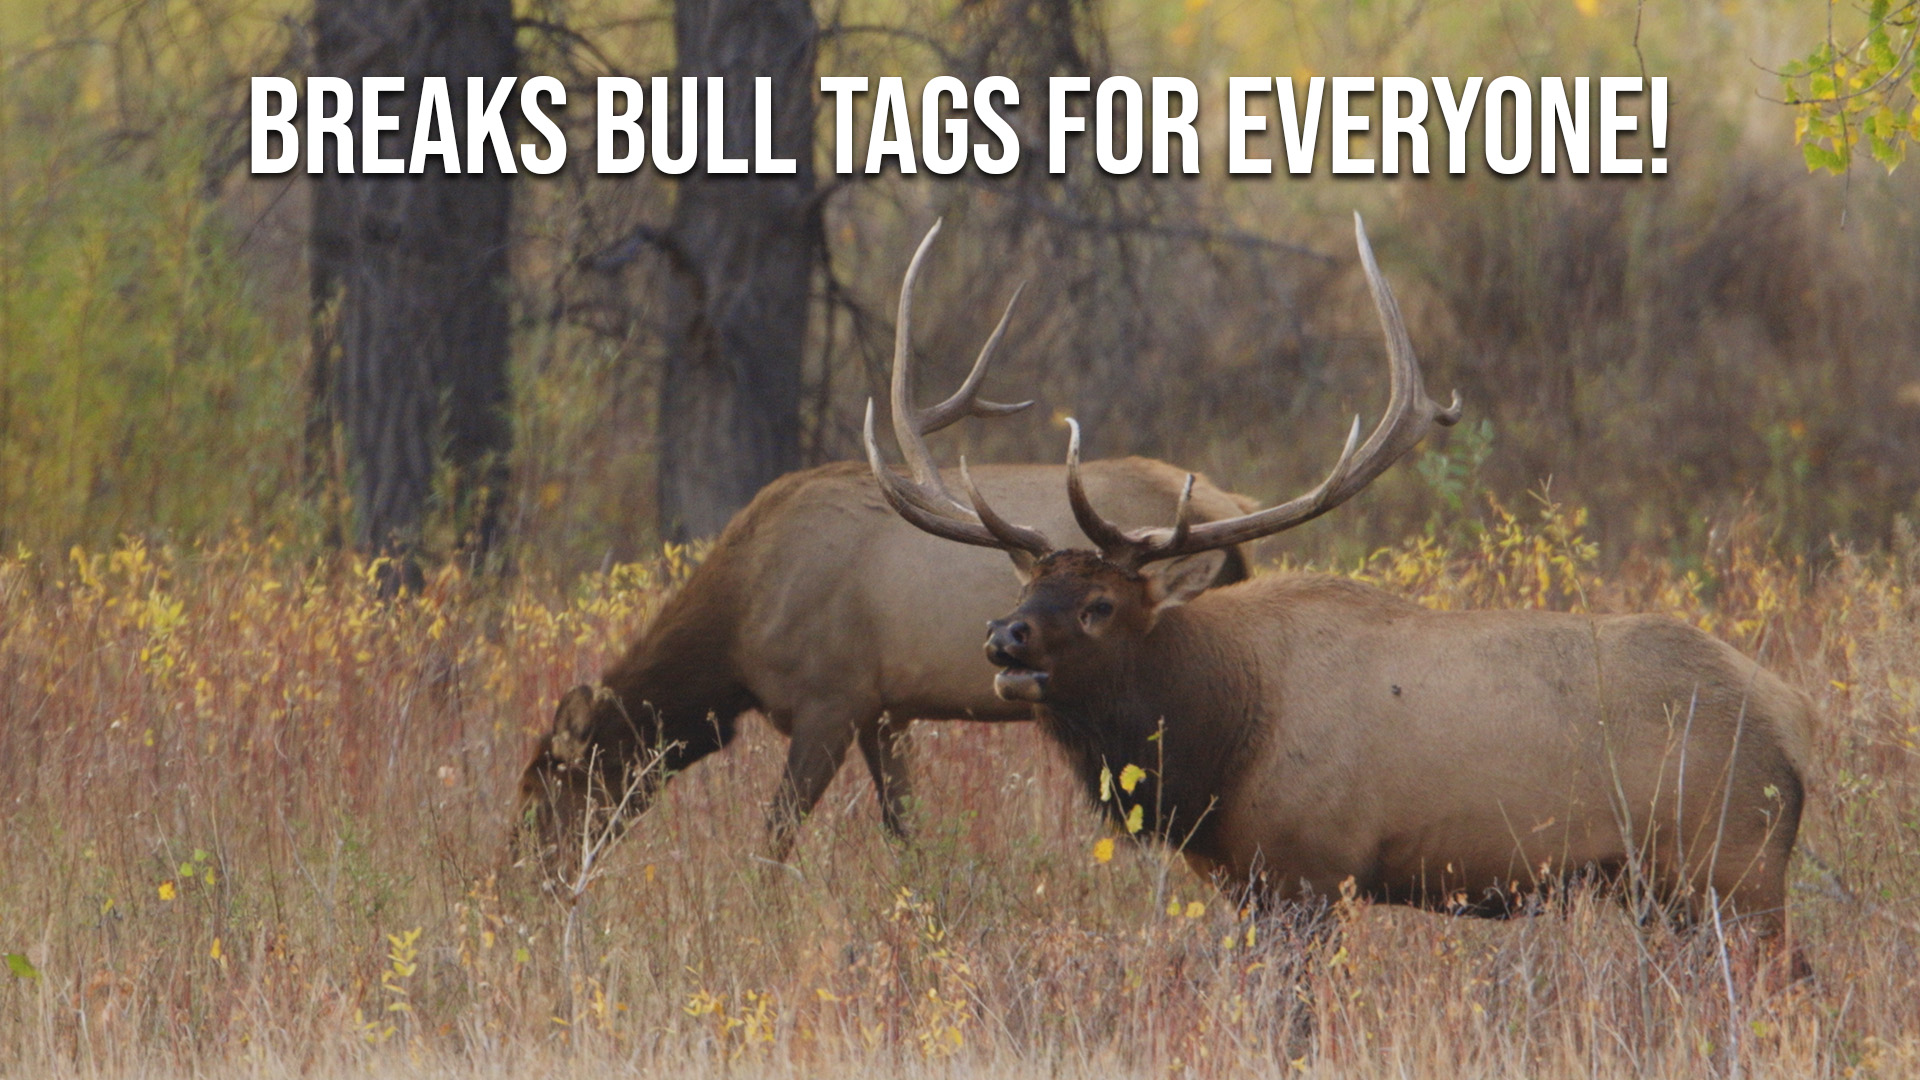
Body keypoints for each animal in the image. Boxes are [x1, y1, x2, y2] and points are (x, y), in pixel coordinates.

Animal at [512, 221, 1259, 881]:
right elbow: (905, 831)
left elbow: (774, 835)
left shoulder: (831, 695)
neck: (739, 628)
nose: (522, 879)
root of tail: (1230, 506)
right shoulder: (886, 709)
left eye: (547, 785)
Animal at [864, 213, 1817, 960]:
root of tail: (1795, 730)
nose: (1004, 638)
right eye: (1029, 590)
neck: (1221, 740)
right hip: (1670, 887)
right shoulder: (1246, 881)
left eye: (1101, 606)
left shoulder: (1310, 867)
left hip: (1732, 862)